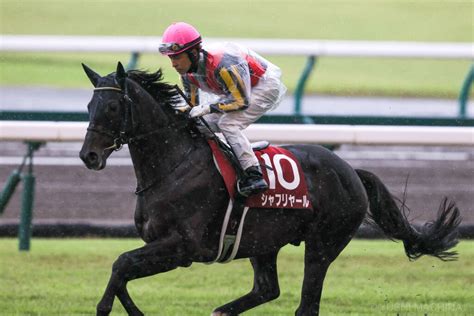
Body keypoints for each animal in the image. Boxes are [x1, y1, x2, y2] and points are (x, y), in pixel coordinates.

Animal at [79, 62, 462, 316]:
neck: (174, 165)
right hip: (262, 240)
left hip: (323, 244)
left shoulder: (184, 247)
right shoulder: (161, 245)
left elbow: (121, 264)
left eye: (111, 106)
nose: (88, 155)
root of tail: (351, 171)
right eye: (88, 106)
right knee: (267, 288)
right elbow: (122, 272)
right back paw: (221, 310)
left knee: (306, 305)